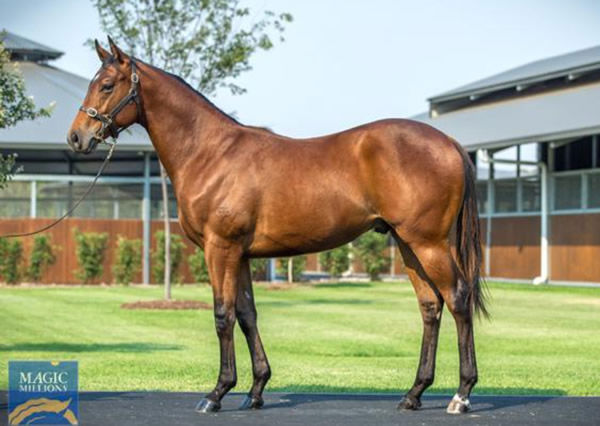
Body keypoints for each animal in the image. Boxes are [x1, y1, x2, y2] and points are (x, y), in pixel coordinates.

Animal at [68, 38, 486, 414]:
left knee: (457, 299)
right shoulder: (240, 254)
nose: (76, 137)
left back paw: (461, 395)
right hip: (407, 244)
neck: (210, 153)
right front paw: (255, 390)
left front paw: (217, 393)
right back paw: (414, 394)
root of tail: (448, 142)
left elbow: (223, 315)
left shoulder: (220, 248)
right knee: (430, 306)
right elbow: (247, 314)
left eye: (107, 85)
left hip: (428, 243)